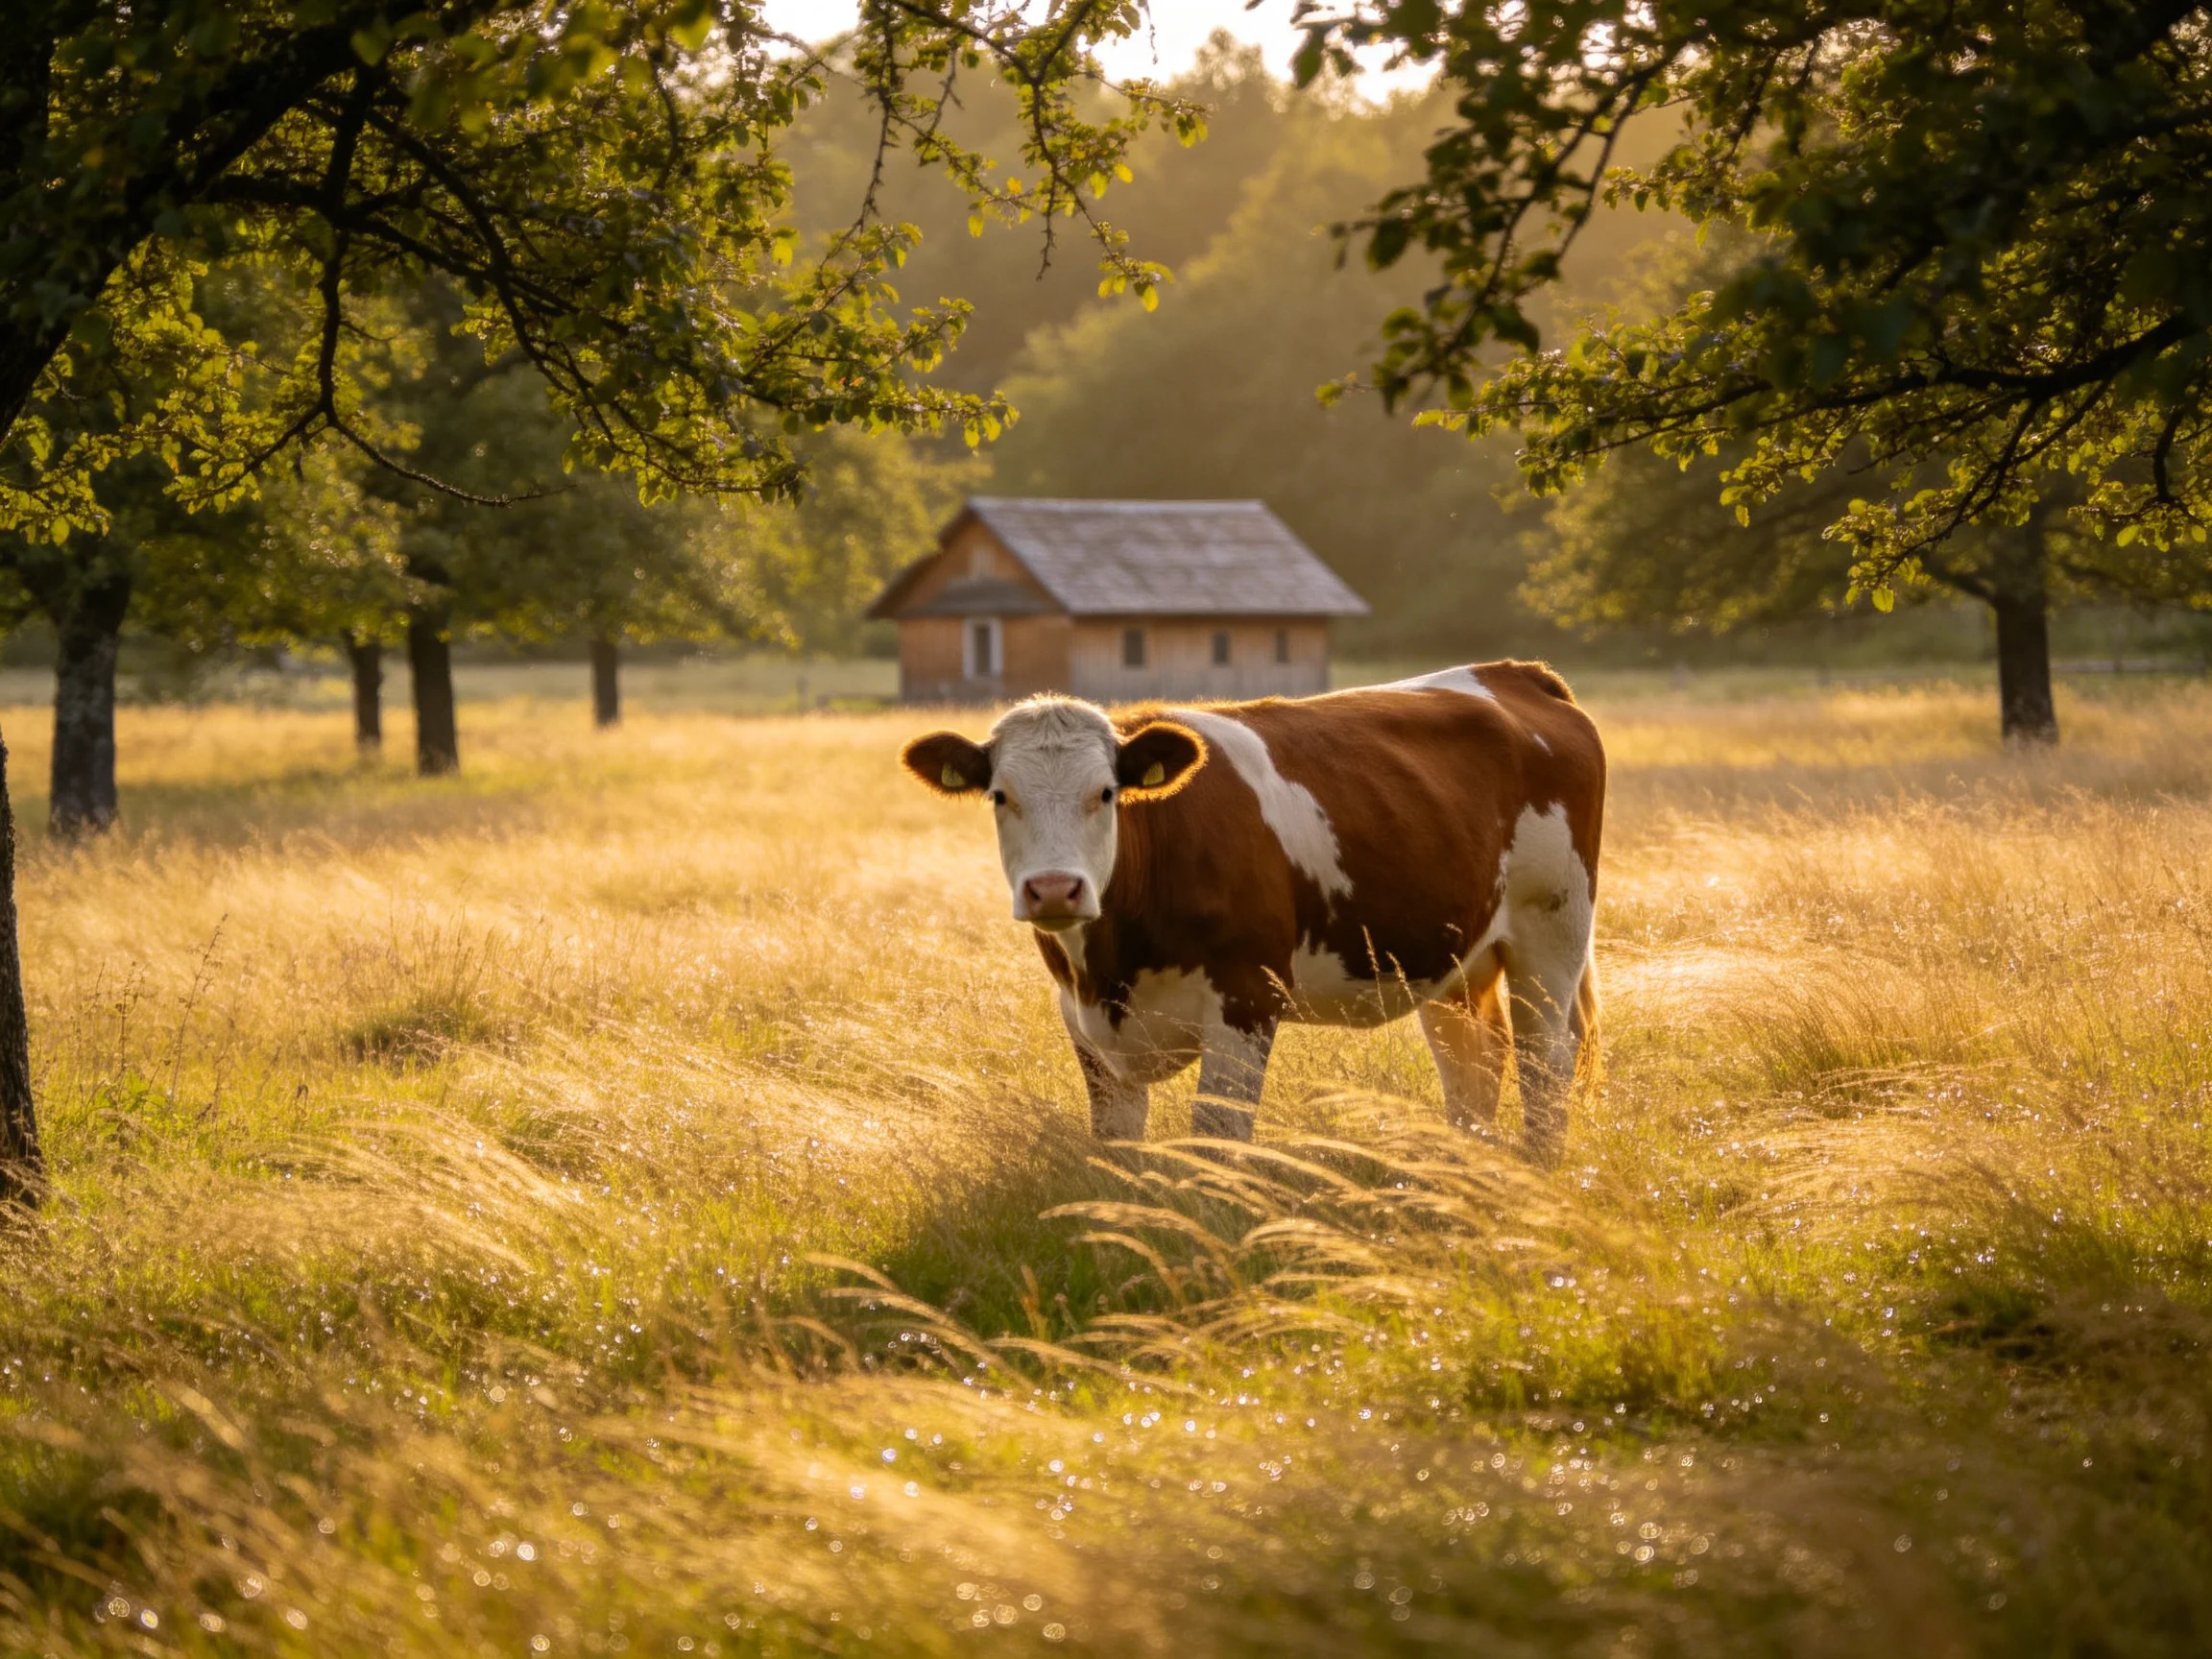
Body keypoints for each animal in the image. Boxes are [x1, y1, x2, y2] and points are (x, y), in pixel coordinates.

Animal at [899, 662, 1604, 1162]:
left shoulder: (1247, 999)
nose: (1052, 890)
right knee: (1473, 1064)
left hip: (1551, 931)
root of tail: (1515, 672)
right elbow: (1117, 1143)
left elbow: (1217, 1136)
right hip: (1453, 957)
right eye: (999, 795)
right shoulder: (1081, 1018)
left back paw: (1540, 1171)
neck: (1112, 970)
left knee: (1545, 1062)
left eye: (1105, 794)